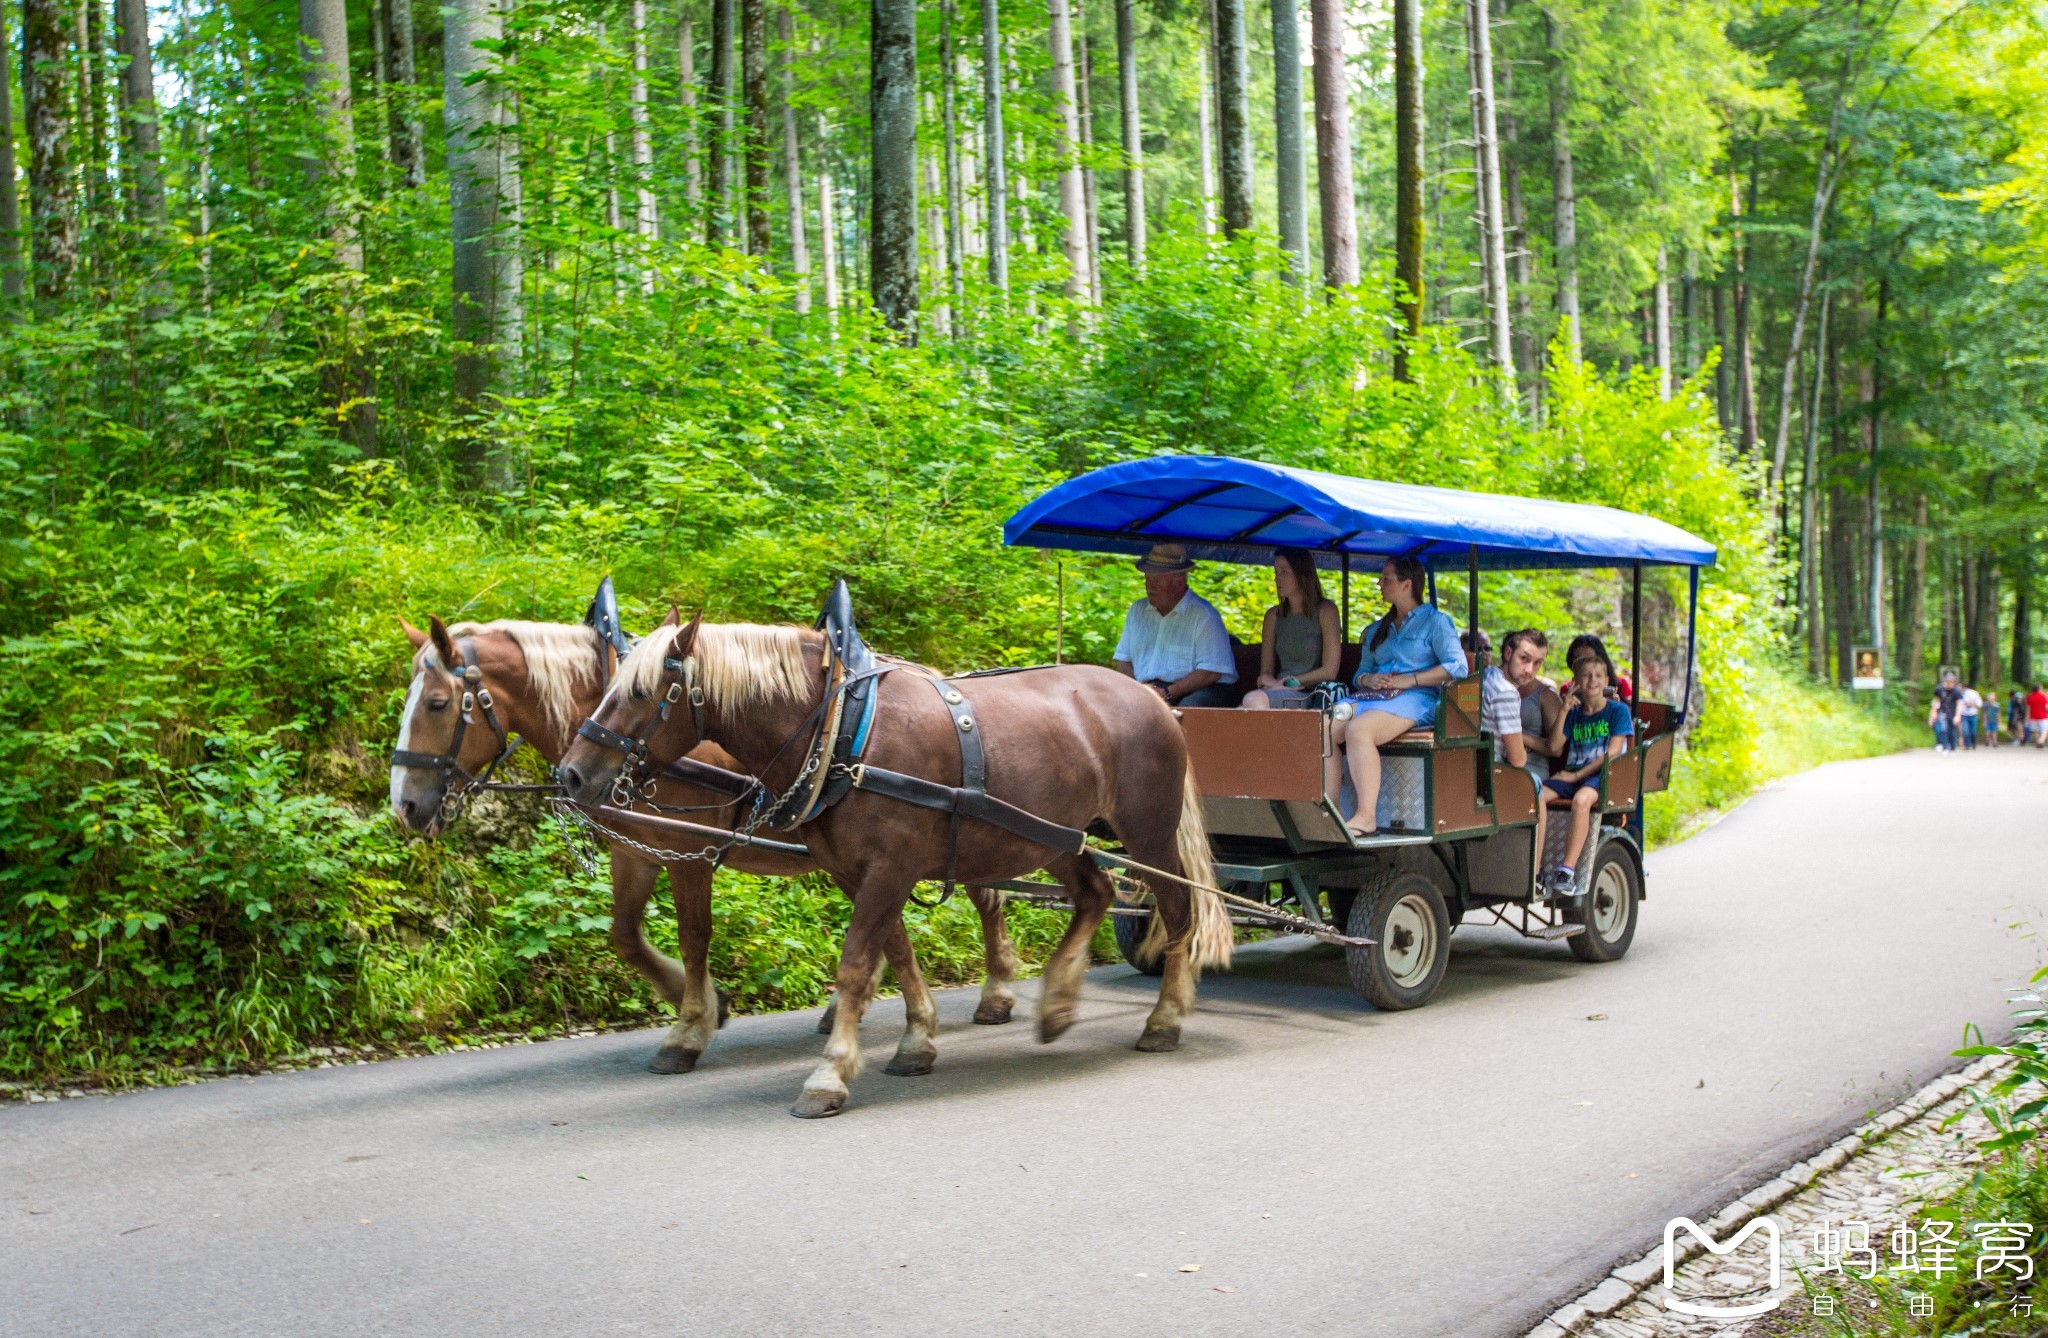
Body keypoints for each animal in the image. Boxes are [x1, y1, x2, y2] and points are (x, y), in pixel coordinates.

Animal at [385, 614, 1032, 1073]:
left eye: (438, 704)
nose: (405, 806)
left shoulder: (689, 852)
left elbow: (694, 935)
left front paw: (691, 1025)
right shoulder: (638, 852)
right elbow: (625, 937)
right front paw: (700, 1001)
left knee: (987, 896)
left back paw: (998, 989)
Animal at [557, 614, 1228, 1114]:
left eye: (640, 692)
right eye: (607, 687)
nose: (571, 774)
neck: (845, 732)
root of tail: (1153, 699)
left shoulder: (888, 868)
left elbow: (856, 963)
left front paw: (828, 1075)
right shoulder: (860, 872)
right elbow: (897, 951)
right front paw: (916, 1042)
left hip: (1147, 834)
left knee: (1179, 910)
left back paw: (1164, 1019)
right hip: (1054, 838)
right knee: (1094, 894)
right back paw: (1059, 1001)